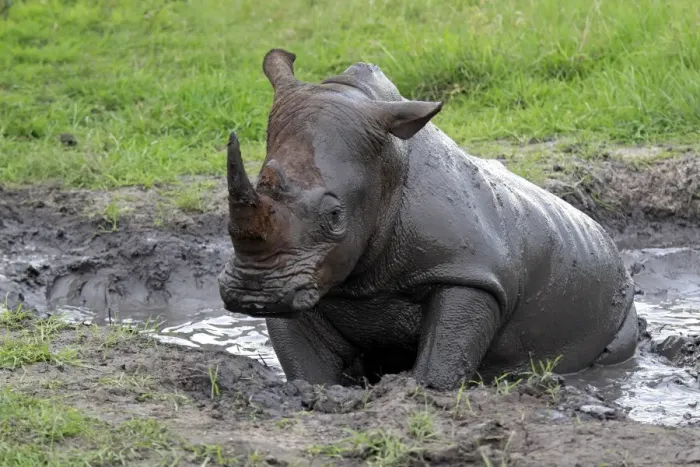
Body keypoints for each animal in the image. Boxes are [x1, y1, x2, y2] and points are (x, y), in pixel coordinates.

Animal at [218, 48, 639, 389]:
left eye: (336, 216)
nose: (252, 293)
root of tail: (606, 238)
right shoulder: (301, 276)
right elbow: (306, 363)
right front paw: (314, 394)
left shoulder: (470, 270)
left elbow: (444, 355)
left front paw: (419, 392)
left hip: (617, 298)